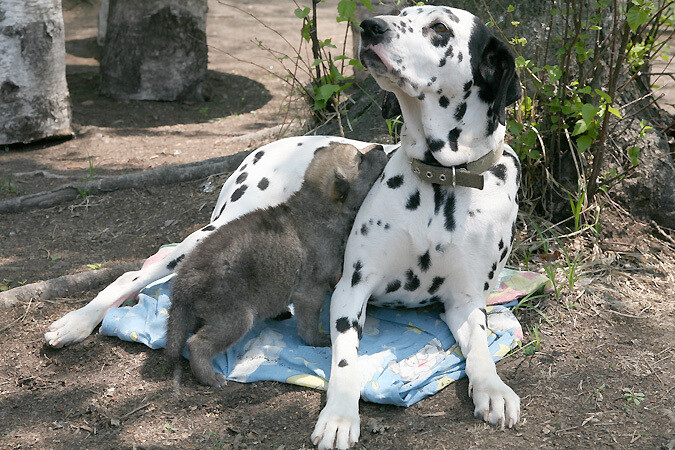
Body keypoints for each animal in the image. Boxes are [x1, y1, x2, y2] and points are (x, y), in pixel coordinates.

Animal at [46, 4, 524, 450]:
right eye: (403, 13)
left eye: (439, 28)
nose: (371, 26)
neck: (441, 183)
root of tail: (266, 147)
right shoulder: (350, 290)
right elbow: (346, 361)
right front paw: (340, 414)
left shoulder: (465, 302)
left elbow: (480, 348)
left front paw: (493, 388)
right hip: (210, 234)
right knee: (137, 271)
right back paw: (74, 323)